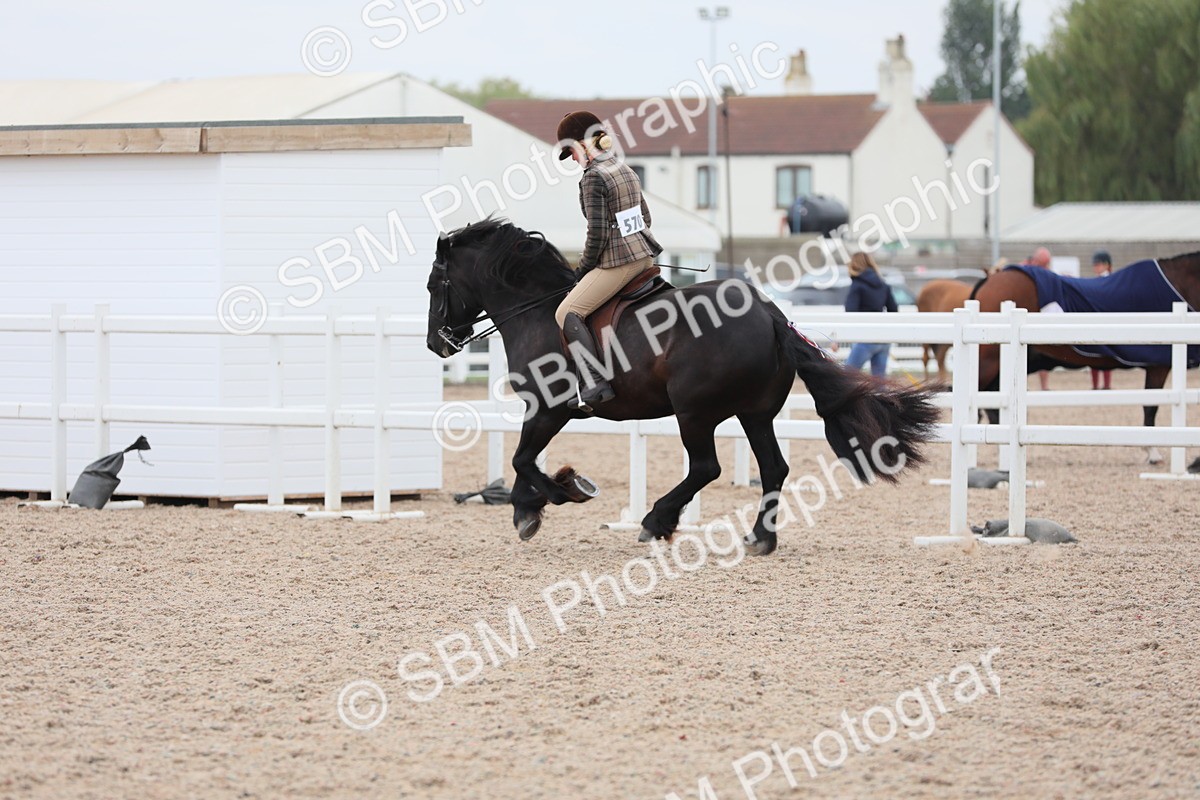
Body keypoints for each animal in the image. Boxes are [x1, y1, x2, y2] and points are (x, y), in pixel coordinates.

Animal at [425, 219, 940, 555]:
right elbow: (524, 460)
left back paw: (657, 521)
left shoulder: (550, 408)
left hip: (694, 412)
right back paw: (761, 537)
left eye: (433, 284)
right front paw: (530, 507)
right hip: (754, 413)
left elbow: (523, 460)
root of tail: (768, 312)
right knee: (773, 468)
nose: (436, 344)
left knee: (706, 467)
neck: (534, 310)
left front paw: (560, 493)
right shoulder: (544, 410)